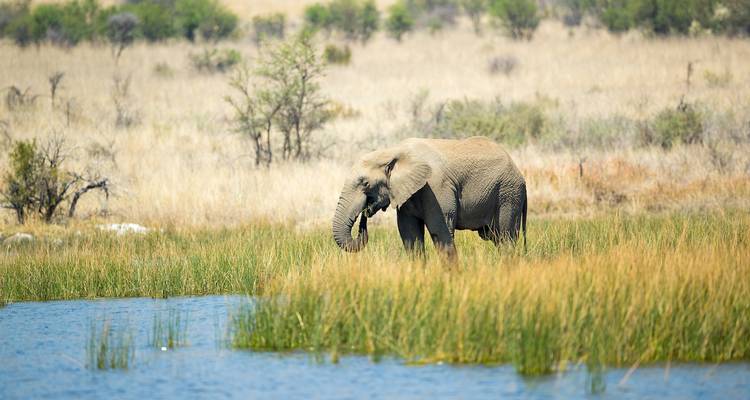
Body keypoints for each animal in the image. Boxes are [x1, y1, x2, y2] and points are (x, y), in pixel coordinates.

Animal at [332, 136, 527, 259]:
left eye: (365, 183)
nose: (365, 214)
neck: (394, 152)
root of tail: (520, 174)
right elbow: (409, 233)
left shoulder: (436, 188)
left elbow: (440, 231)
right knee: (495, 237)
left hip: (508, 195)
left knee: (506, 238)